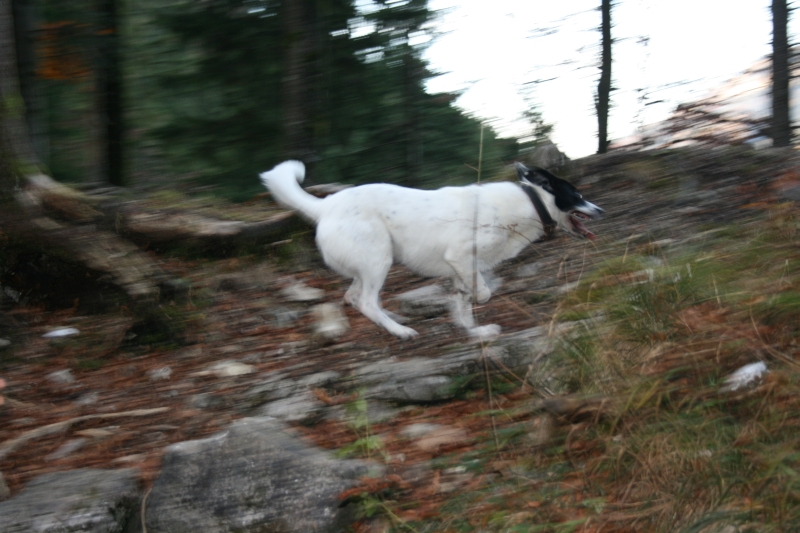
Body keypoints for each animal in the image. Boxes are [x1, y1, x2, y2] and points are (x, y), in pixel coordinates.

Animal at [260, 160, 604, 338]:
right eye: (577, 195)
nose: (601, 210)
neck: (530, 203)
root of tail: (325, 206)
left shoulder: (464, 267)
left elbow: (465, 301)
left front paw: (474, 332)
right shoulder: (461, 258)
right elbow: (481, 293)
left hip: (368, 264)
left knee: (353, 297)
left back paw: (393, 319)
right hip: (378, 259)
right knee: (366, 301)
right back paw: (400, 331)